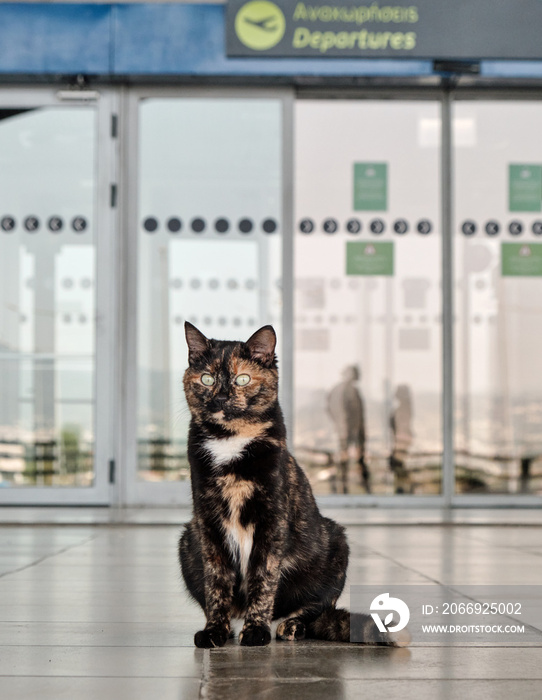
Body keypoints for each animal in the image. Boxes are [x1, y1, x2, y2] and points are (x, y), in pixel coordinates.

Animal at [181, 326, 410, 648]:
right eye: (207, 379)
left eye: (242, 379)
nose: (222, 397)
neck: (230, 443)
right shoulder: (208, 524)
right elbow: (217, 583)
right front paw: (215, 631)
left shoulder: (272, 521)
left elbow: (263, 578)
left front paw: (256, 630)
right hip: (188, 539)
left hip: (336, 542)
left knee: (316, 609)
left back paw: (288, 626)